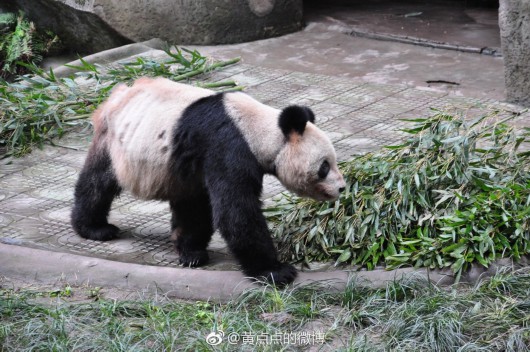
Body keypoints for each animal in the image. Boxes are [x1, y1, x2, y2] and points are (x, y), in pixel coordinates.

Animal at [70, 77, 344, 286]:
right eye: (324, 166)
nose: (341, 187)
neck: (262, 129)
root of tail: (115, 95)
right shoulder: (227, 145)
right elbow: (236, 210)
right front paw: (276, 271)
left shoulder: (201, 160)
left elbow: (201, 207)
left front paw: (192, 252)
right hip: (114, 140)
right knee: (98, 182)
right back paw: (95, 228)